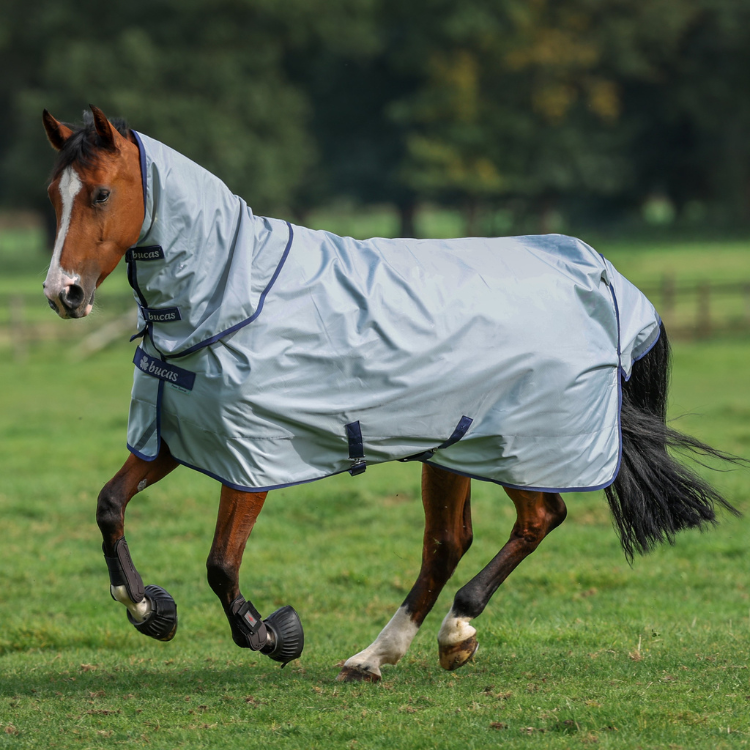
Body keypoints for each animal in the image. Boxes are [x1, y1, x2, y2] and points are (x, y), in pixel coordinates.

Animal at [41, 105, 741, 681]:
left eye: (101, 193)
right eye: (54, 194)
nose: (62, 293)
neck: (231, 295)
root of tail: (600, 273)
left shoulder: (252, 461)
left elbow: (220, 565)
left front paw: (272, 634)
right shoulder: (170, 439)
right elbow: (109, 505)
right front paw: (145, 606)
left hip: (519, 444)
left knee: (538, 517)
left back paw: (456, 629)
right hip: (454, 449)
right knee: (448, 543)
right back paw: (379, 654)